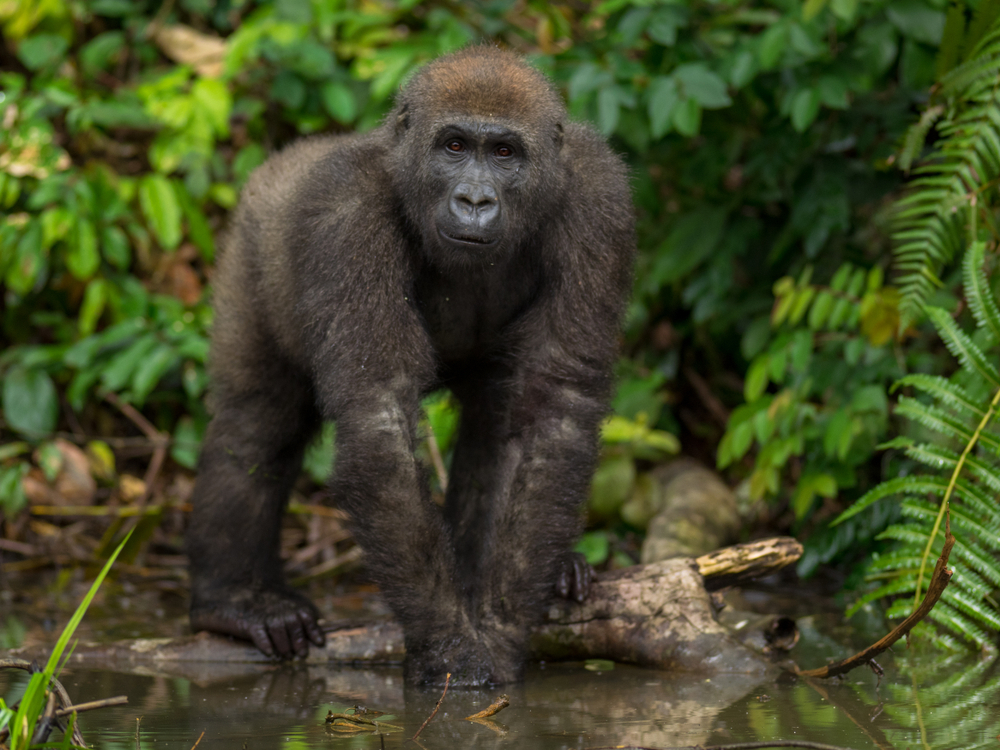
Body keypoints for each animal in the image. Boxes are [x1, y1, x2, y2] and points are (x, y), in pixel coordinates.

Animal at [186, 46, 635, 686]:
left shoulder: (599, 198)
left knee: (493, 419)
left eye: (504, 153)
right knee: (256, 424)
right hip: (250, 239)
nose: (475, 201)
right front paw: (452, 648)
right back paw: (234, 600)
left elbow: (554, 406)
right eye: (454, 146)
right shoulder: (347, 211)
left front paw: (495, 627)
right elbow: (379, 415)